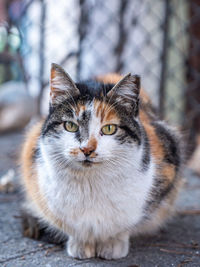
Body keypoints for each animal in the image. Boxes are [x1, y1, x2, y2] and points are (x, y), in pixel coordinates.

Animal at [20, 63, 183, 260]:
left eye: (109, 129)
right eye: (70, 126)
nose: (87, 149)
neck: (90, 185)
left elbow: (124, 226)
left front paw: (113, 244)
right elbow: (71, 226)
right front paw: (81, 245)